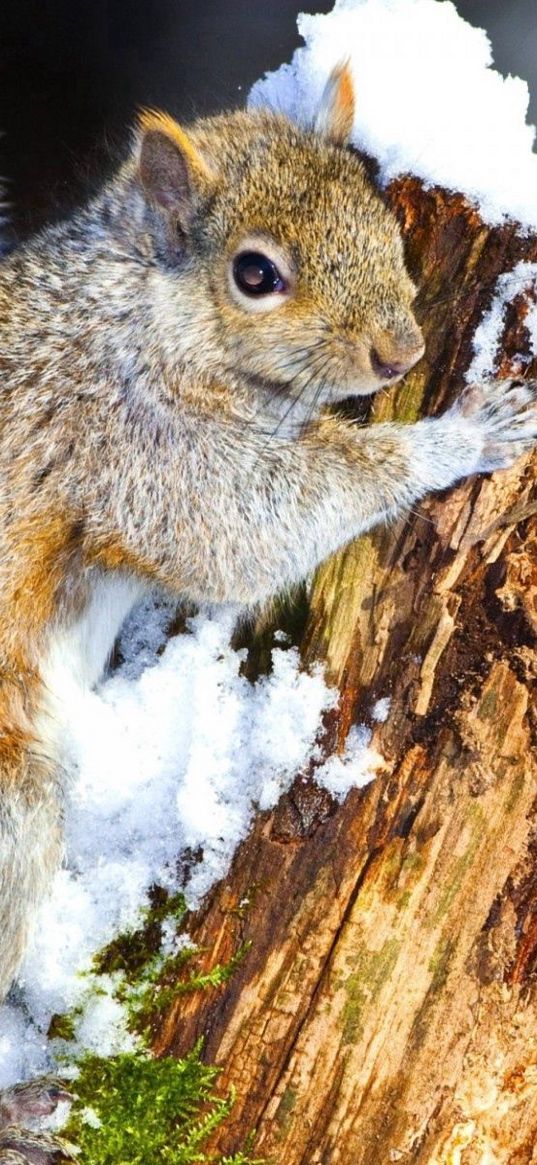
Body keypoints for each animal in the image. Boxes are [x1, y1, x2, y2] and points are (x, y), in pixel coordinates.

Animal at [0, 66, 533, 1165]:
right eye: (255, 274)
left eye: (380, 215)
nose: (401, 349)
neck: (142, 307)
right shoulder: (136, 444)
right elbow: (253, 524)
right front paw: (461, 436)